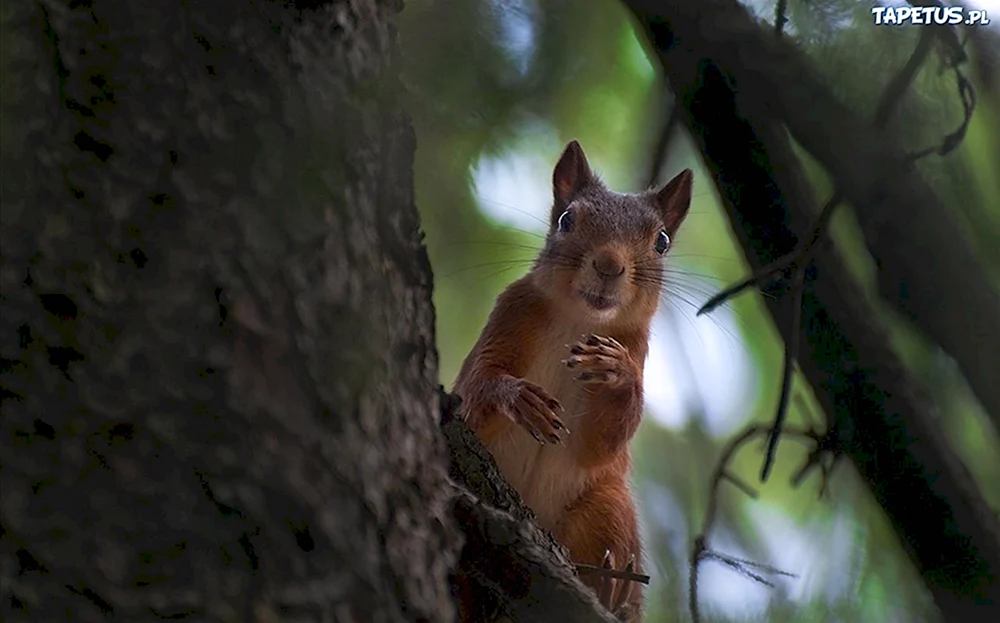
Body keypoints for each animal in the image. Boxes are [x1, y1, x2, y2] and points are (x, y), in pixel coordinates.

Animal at [456, 139, 696, 620]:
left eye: (661, 241)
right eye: (567, 219)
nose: (609, 264)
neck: (579, 319)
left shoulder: (635, 346)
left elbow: (600, 444)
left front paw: (618, 373)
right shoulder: (508, 316)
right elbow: (478, 390)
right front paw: (517, 398)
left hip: (608, 504)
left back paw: (607, 587)